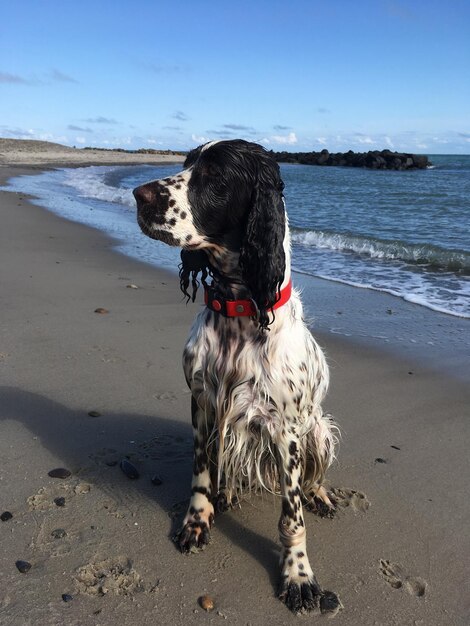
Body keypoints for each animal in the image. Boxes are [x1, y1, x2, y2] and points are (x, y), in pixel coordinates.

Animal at [134, 139, 340, 612]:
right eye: (187, 163)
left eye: (215, 175)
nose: (138, 194)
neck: (240, 309)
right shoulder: (202, 402)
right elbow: (201, 472)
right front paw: (197, 521)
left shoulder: (286, 430)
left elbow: (291, 516)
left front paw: (298, 574)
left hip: (319, 430)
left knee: (315, 475)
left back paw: (320, 495)